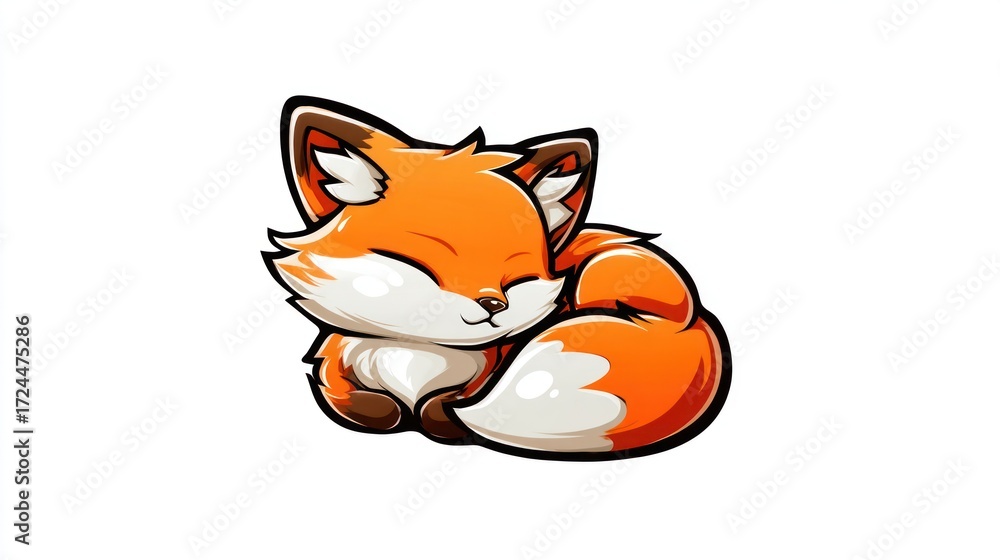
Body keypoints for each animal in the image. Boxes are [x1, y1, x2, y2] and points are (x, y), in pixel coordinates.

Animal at [264, 96, 731, 461]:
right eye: (421, 265)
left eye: (516, 278)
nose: (493, 306)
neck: (415, 354)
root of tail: (687, 312)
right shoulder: (335, 364)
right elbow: (350, 398)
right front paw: (385, 409)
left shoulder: (484, 372)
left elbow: (444, 407)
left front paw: (439, 416)